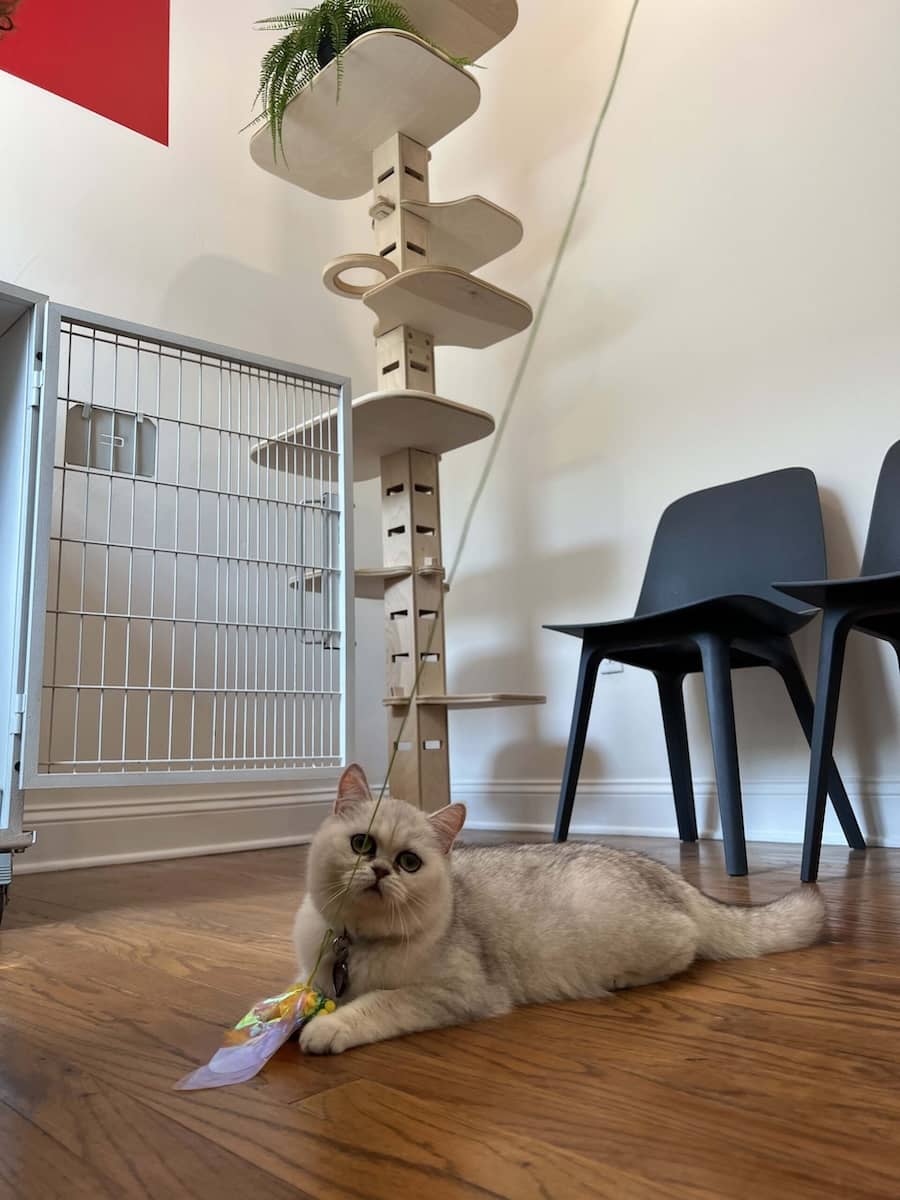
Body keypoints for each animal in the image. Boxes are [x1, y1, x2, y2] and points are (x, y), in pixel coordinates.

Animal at [294, 763, 825, 1056]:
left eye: (409, 862)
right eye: (361, 844)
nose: (381, 870)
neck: (358, 942)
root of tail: (669, 876)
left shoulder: (455, 992)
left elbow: (378, 1003)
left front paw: (328, 1026)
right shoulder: (314, 975)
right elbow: (304, 991)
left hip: (637, 932)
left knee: (687, 946)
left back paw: (625, 978)